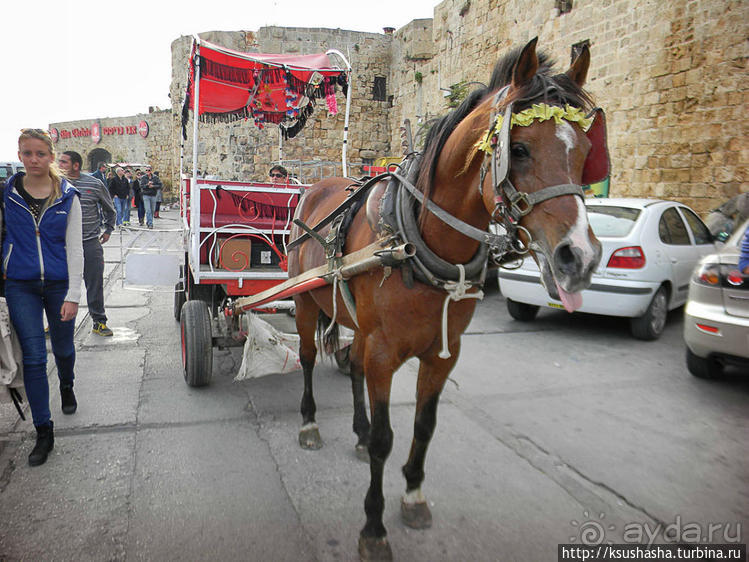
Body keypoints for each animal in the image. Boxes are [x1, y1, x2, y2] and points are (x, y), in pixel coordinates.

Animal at [284, 37, 600, 556]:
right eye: (519, 149)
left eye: (588, 150)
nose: (581, 256)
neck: (417, 239)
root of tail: (316, 187)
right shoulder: (385, 352)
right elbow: (387, 439)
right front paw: (374, 527)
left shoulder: (441, 355)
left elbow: (423, 427)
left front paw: (412, 494)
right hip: (307, 304)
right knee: (309, 358)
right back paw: (309, 424)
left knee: (352, 366)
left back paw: (357, 431)